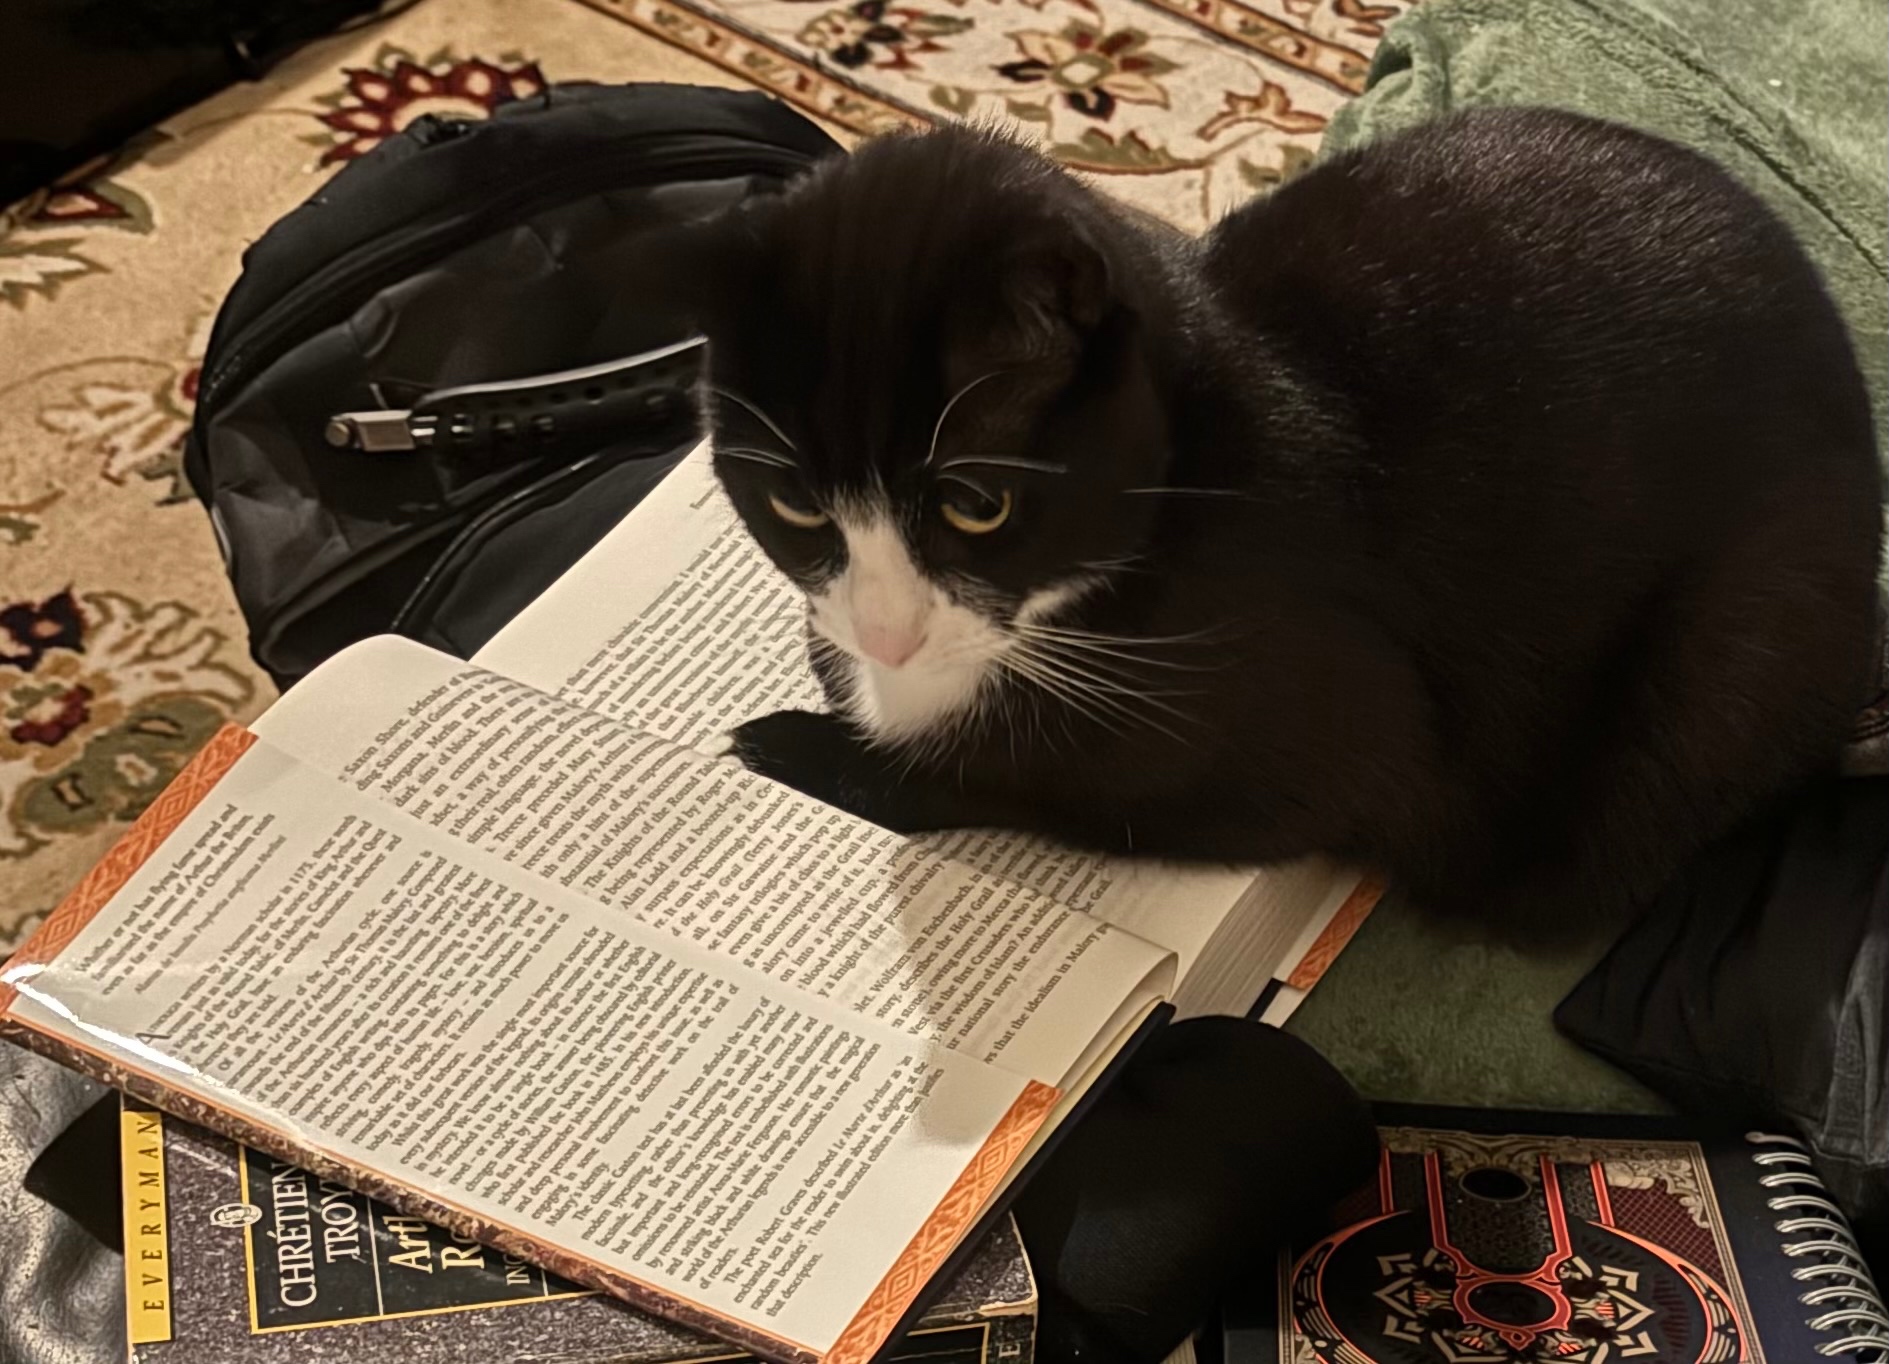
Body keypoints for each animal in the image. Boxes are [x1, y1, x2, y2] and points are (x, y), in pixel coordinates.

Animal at [691, 111, 1883, 932]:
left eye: (975, 505)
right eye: (795, 501)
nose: (885, 636)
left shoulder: (1329, 739)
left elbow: (1015, 778)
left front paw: (792, 746)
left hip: (1718, 662)